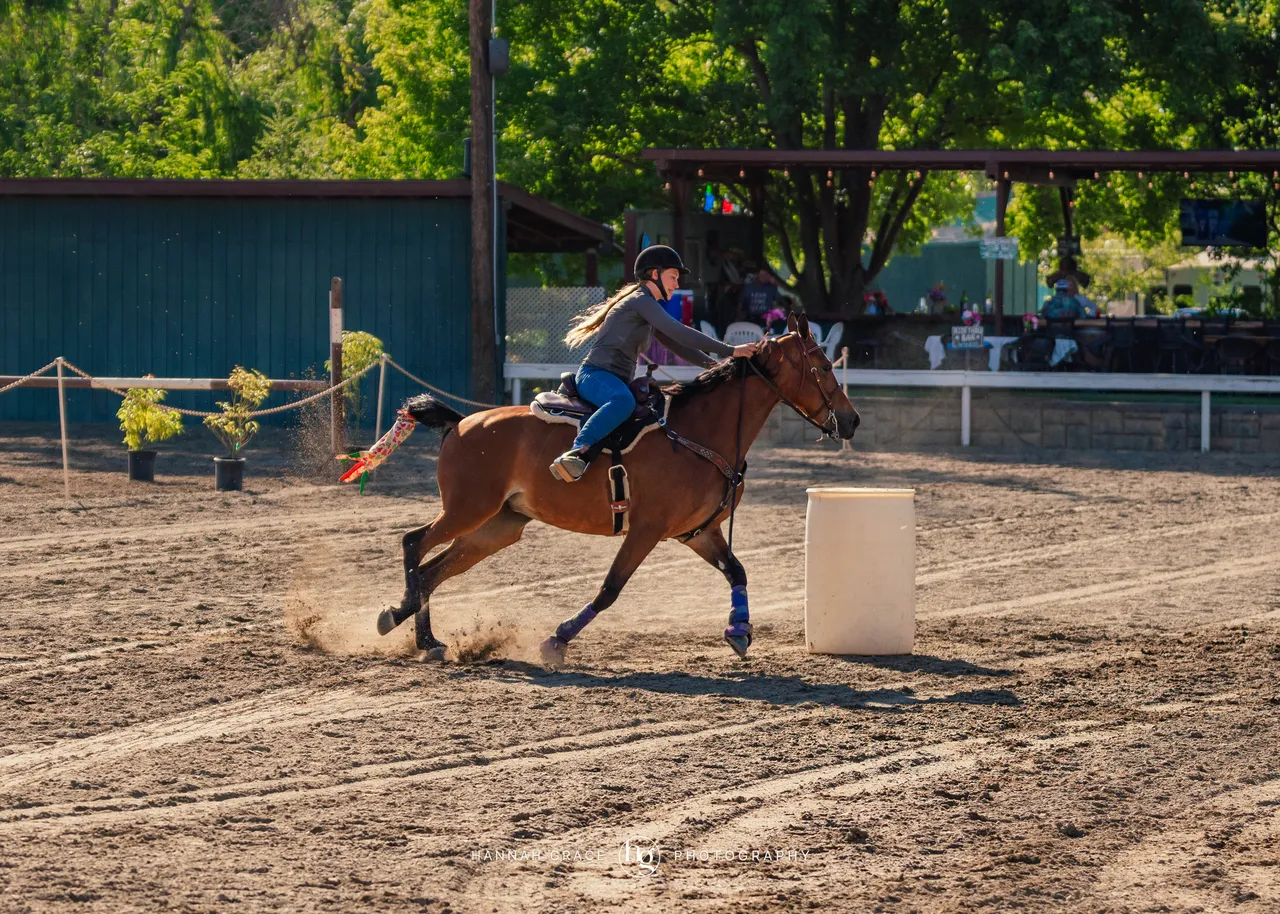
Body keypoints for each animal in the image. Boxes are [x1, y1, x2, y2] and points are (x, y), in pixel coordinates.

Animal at [373, 312, 860, 666]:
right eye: (821, 367)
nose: (852, 420)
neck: (698, 433)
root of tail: (461, 422)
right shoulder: (646, 530)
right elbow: (610, 588)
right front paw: (556, 640)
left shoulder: (699, 532)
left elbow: (737, 571)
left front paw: (739, 631)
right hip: (467, 509)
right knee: (413, 543)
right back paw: (411, 626)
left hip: (496, 527)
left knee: (432, 571)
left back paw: (414, 628)